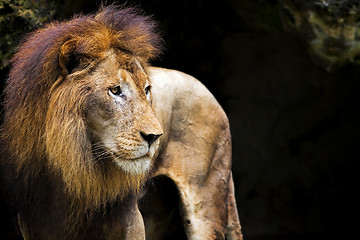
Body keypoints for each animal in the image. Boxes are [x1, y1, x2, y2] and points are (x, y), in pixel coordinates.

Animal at [0, 5, 242, 240]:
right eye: (115, 90)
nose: (155, 137)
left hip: (205, 196)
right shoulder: (32, 221)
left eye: (147, 89)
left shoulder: (130, 218)